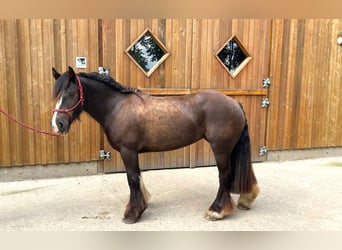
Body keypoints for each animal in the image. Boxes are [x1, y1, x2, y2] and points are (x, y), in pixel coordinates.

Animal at [51, 66, 260, 223]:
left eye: (71, 92)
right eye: (56, 95)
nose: (57, 125)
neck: (117, 106)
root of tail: (235, 103)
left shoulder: (128, 151)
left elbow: (132, 179)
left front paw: (132, 214)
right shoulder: (132, 153)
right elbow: (137, 177)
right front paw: (142, 206)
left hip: (221, 149)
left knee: (224, 176)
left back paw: (216, 211)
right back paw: (245, 200)